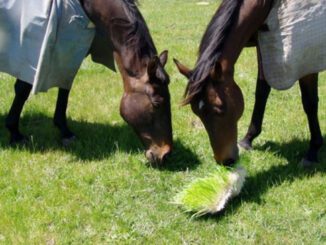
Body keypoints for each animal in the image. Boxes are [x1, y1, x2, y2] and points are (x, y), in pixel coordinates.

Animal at [0, 0, 173, 165]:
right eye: (157, 103)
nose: (165, 154)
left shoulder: (70, 56)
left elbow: (64, 89)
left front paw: (65, 132)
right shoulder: (32, 56)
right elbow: (23, 89)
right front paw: (15, 133)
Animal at [174, 0, 322, 167]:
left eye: (220, 109)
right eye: (196, 112)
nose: (225, 161)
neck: (270, 5)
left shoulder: (306, 54)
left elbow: (309, 103)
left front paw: (312, 151)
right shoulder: (263, 46)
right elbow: (262, 92)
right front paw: (248, 139)